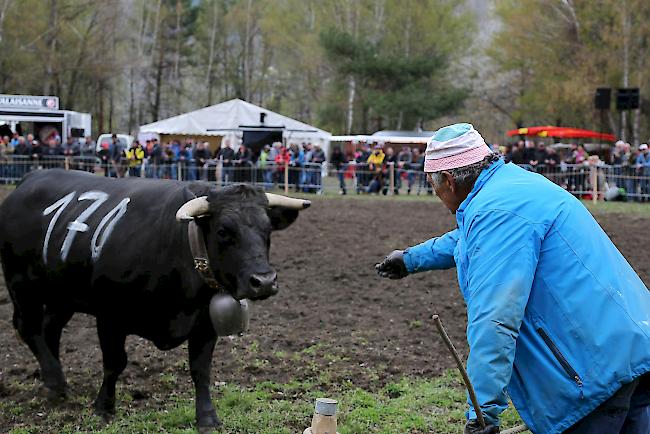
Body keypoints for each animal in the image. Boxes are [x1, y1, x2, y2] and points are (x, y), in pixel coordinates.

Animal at [0, 168, 308, 428]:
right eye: (223, 231)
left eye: (267, 231)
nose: (264, 281)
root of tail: (30, 179)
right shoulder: (110, 315)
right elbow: (115, 363)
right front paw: (104, 407)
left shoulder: (205, 324)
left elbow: (201, 370)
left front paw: (207, 418)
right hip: (21, 285)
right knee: (28, 327)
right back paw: (55, 381)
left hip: (61, 295)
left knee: (49, 330)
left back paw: (54, 380)